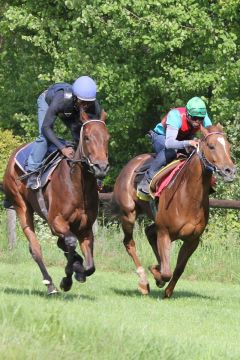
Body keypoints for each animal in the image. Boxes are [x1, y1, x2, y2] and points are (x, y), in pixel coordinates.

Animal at [3, 111, 109, 294]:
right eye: (87, 137)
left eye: (108, 138)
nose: (101, 168)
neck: (78, 184)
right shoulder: (56, 220)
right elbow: (71, 243)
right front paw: (67, 279)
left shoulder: (85, 228)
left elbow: (90, 267)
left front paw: (78, 269)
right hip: (21, 206)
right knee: (35, 248)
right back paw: (50, 284)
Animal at [113, 124, 236, 298]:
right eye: (211, 146)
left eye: (229, 146)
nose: (230, 171)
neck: (189, 196)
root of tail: (131, 164)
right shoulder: (165, 233)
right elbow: (166, 272)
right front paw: (157, 275)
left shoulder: (192, 240)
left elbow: (178, 269)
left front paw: (167, 290)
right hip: (128, 214)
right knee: (129, 243)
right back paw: (143, 282)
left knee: (149, 232)